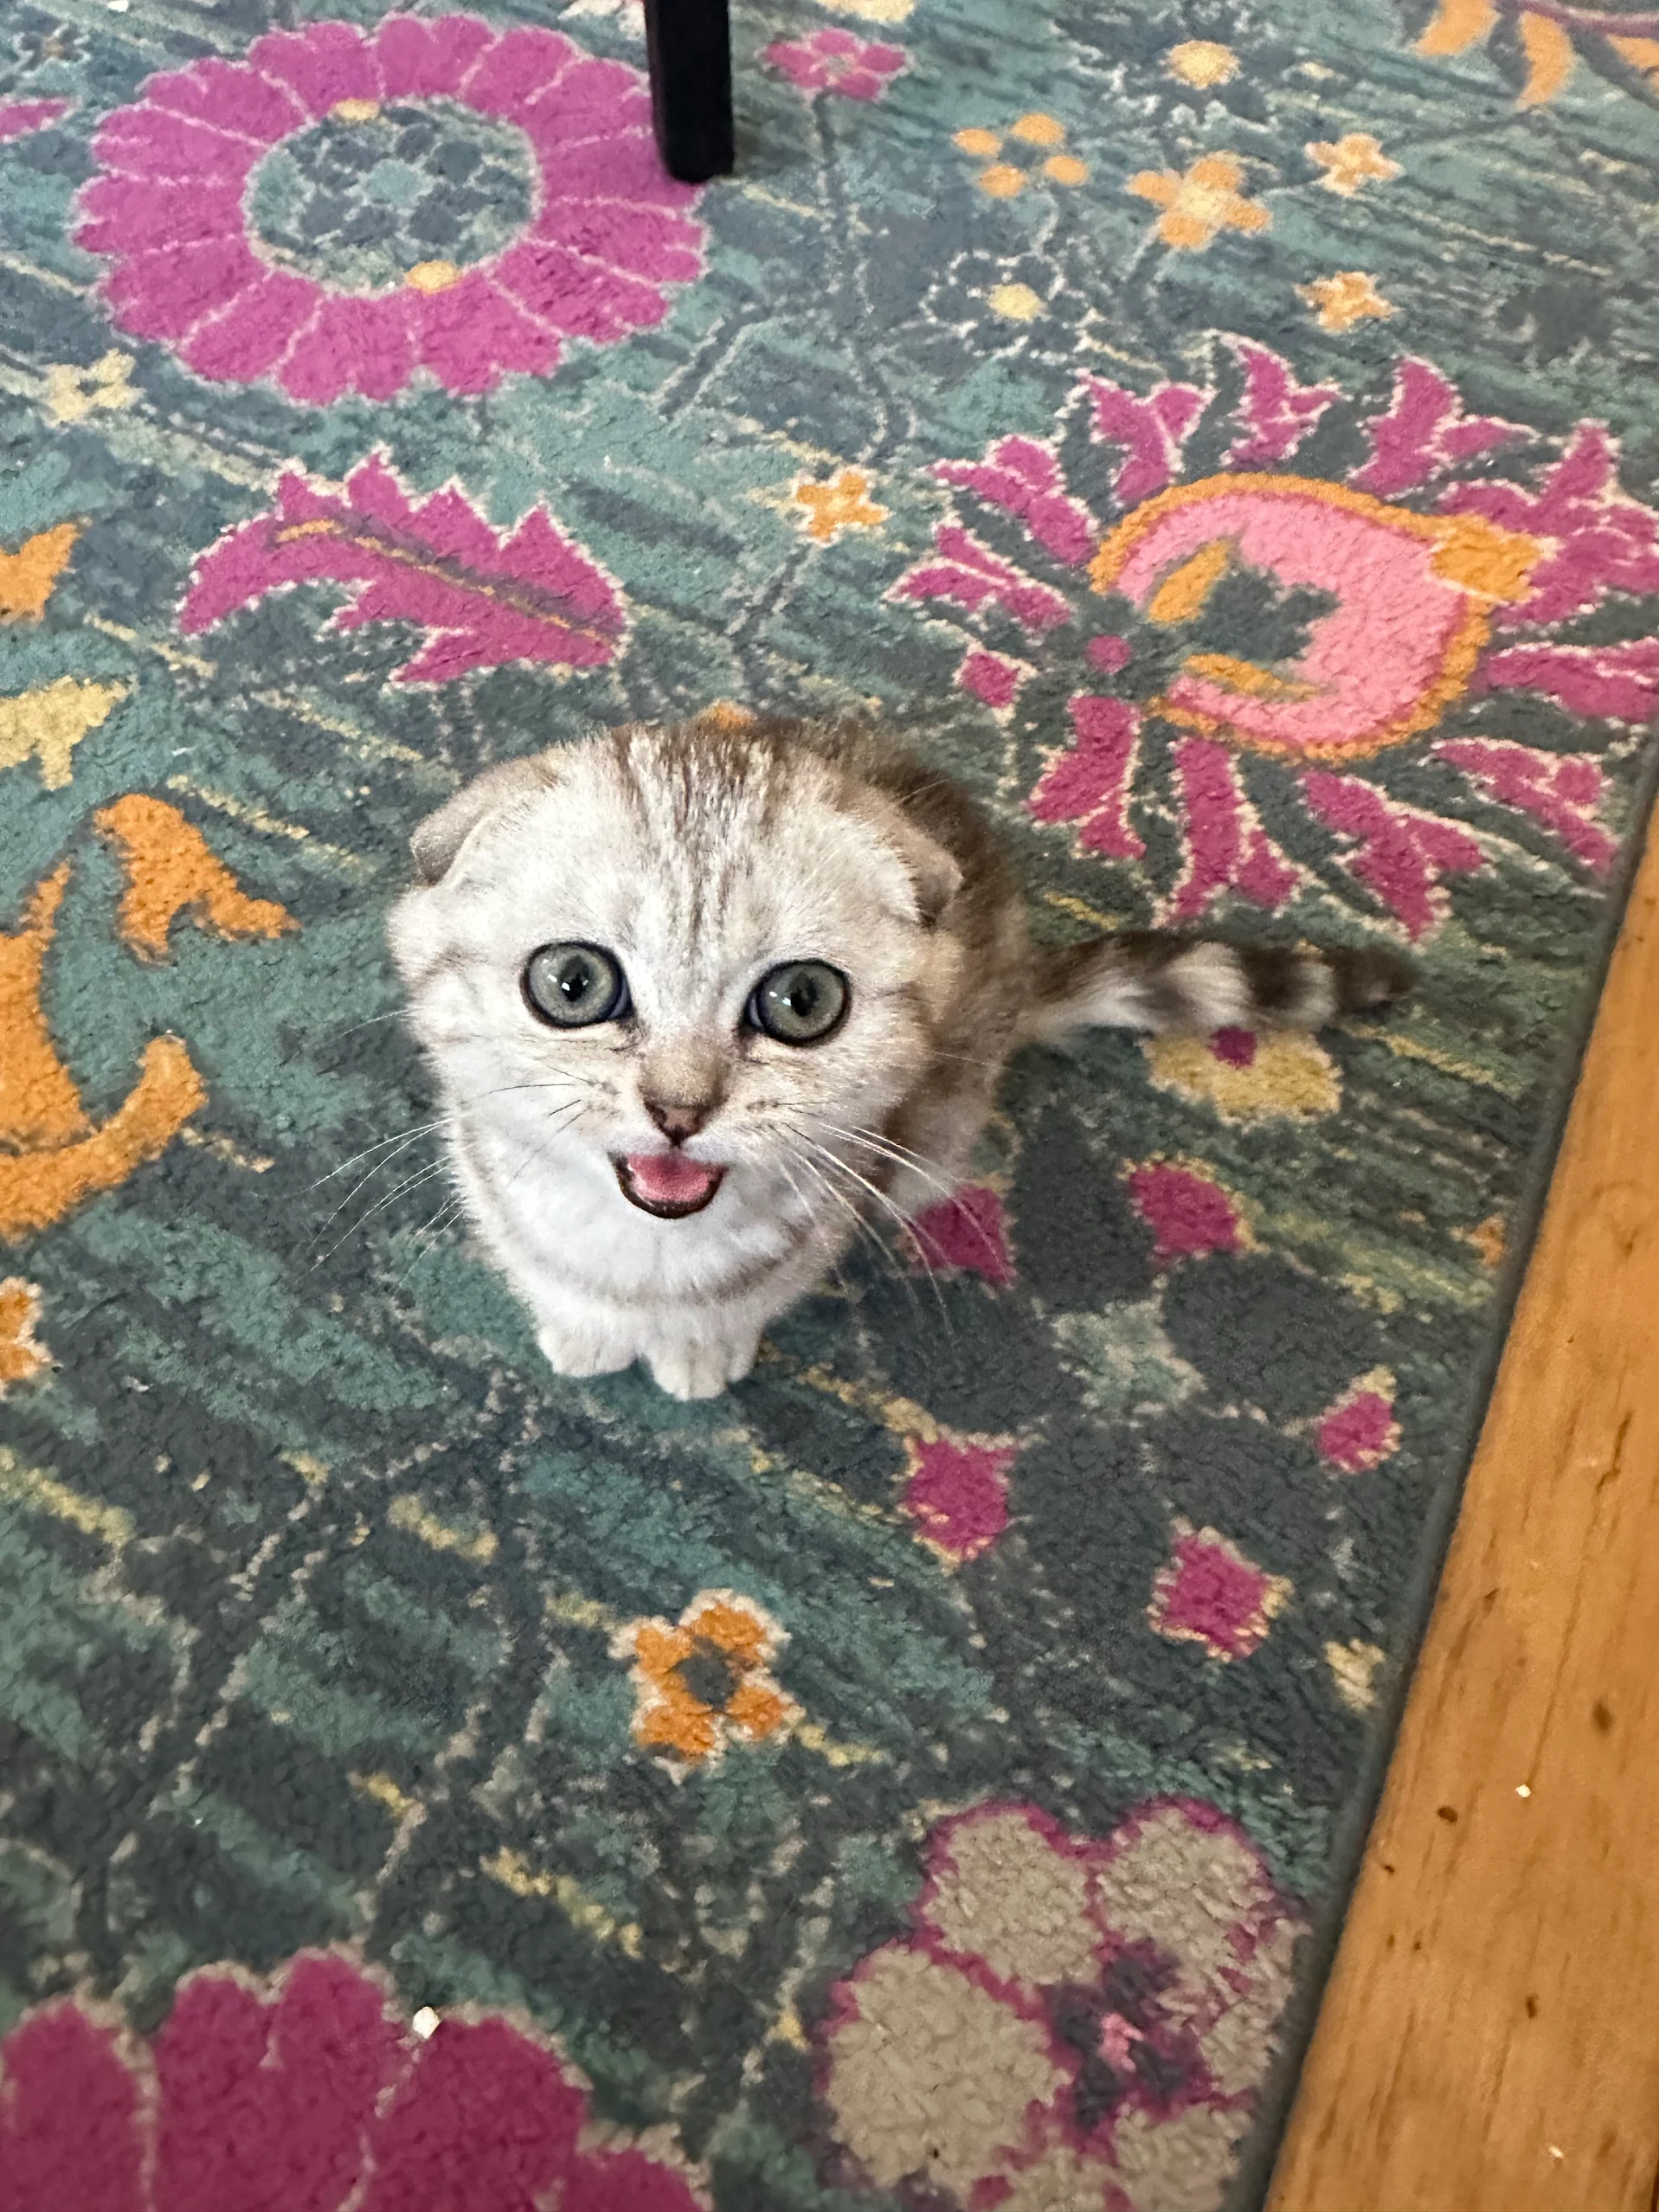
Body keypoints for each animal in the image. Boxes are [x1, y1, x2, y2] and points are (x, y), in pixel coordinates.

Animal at [388, 713, 1410, 1400]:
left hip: (937, 1134)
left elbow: (737, 1306)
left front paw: (699, 1350)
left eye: (802, 1002)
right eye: (572, 984)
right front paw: (583, 1331)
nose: (679, 1109)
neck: (644, 1255)